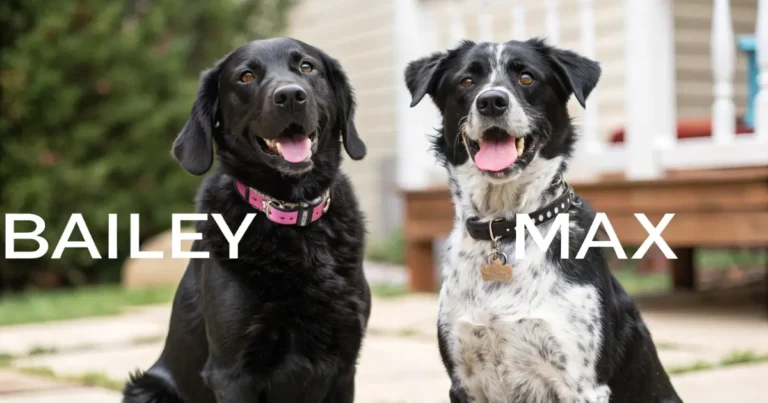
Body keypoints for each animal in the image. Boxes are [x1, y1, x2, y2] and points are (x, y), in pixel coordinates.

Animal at [121, 37, 370, 403]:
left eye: (307, 67)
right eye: (246, 76)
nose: (290, 95)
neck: (292, 212)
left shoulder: (345, 363)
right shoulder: (232, 372)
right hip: (147, 388)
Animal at [404, 38, 680, 403]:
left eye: (526, 77)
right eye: (466, 81)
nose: (491, 101)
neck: (505, 227)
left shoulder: (584, 385)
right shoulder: (464, 382)